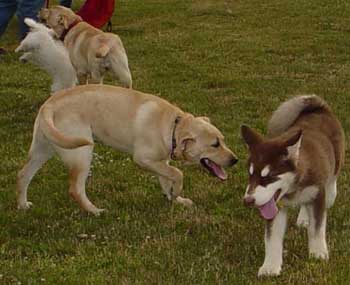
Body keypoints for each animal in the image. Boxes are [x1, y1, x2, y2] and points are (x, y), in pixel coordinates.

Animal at [17, 85, 239, 214]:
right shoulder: (144, 159)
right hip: (82, 153)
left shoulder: (161, 162)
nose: (235, 160)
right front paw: (177, 192)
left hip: (44, 149)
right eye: (215, 144)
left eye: (223, 140)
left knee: (23, 175)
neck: (172, 127)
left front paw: (175, 198)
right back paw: (95, 211)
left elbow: (167, 179)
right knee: (75, 189)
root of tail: (50, 104)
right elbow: (178, 173)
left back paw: (22, 205)